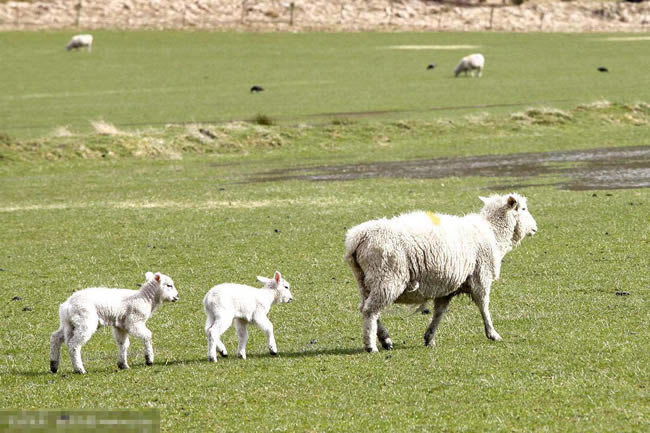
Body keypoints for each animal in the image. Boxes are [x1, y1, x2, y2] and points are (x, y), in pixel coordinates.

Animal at [49, 272, 178, 372]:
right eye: (169, 285)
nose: (177, 297)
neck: (145, 298)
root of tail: (67, 305)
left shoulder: (121, 326)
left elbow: (123, 344)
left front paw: (123, 364)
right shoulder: (134, 321)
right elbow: (147, 335)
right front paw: (149, 359)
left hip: (68, 323)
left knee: (56, 337)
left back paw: (54, 365)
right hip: (85, 321)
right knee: (74, 345)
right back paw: (79, 369)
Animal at [344, 192, 536, 352]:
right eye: (523, 209)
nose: (535, 227)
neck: (493, 232)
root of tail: (358, 238)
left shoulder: (448, 286)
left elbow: (439, 312)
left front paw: (430, 337)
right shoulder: (481, 275)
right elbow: (484, 305)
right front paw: (492, 333)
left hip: (364, 280)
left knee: (366, 308)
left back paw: (385, 339)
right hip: (387, 277)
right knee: (370, 311)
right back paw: (371, 345)